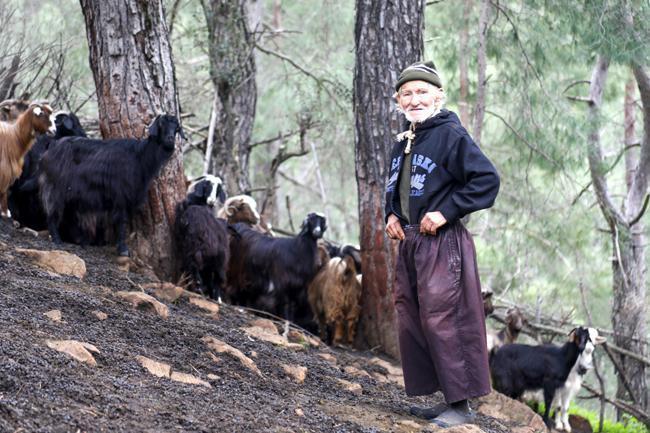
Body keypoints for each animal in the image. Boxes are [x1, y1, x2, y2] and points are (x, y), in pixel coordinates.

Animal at [39, 113, 182, 255]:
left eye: (176, 127)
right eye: (161, 124)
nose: (170, 139)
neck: (140, 156)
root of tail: (52, 146)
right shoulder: (120, 195)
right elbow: (121, 221)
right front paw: (123, 249)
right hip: (55, 187)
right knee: (53, 211)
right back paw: (57, 239)